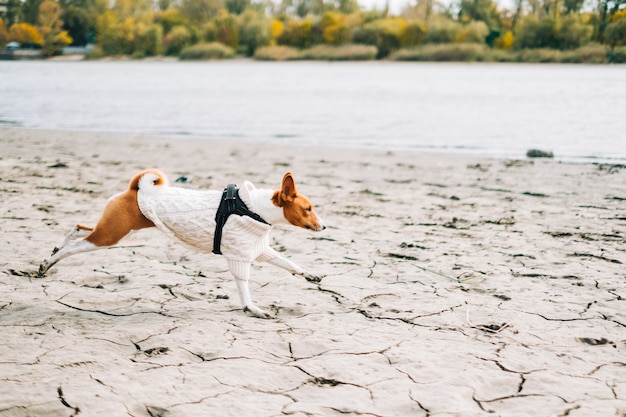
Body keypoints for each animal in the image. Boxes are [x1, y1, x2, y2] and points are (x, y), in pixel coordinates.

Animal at [37, 168, 326, 316]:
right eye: (308, 208)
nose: (324, 226)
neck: (252, 208)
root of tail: (134, 189)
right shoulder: (239, 255)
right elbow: (244, 287)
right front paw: (252, 308)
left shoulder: (259, 249)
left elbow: (289, 263)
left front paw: (310, 275)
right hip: (110, 236)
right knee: (75, 247)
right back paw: (48, 262)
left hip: (112, 230)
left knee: (78, 228)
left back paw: (54, 250)